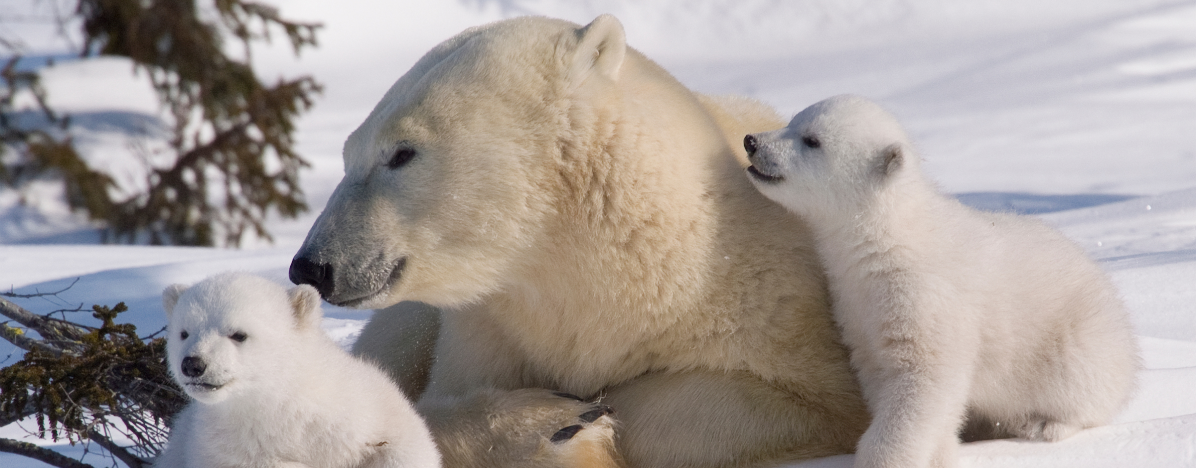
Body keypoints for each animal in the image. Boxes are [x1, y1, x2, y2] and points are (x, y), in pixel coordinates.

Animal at [153, 272, 441, 468]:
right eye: (184, 333)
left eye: (238, 334)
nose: (193, 364)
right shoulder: (219, 447)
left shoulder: (363, 408)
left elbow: (406, 446)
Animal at [288, 14, 870, 468]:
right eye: (348, 153)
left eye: (401, 153)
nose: (311, 266)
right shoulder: (490, 329)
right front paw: (551, 424)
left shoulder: (772, 305)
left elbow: (802, 402)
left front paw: (583, 422)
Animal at [742, 94, 1139, 468]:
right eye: (793, 121)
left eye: (812, 140)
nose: (751, 141)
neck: (890, 239)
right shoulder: (857, 307)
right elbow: (883, 375)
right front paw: (942, 451)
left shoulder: (926, 298)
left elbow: (924, 378)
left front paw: (884, 460)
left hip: (1077, 339)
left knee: (1081, 385)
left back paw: (1045, 424)